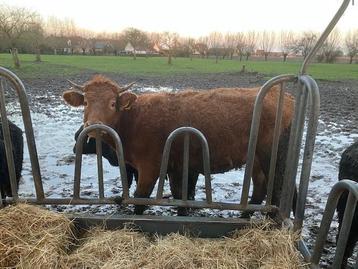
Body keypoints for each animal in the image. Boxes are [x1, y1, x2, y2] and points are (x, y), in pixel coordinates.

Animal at [63, 75, 294, 214]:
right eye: (85, 103)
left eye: (112, 103)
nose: (93, 126)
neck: (134, 120)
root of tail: (282, 95)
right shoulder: (175, 166)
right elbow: (179, 196)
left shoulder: (150, 167)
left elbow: (140, 199)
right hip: (255, 161)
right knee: (260, 189)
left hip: (272, 158)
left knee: (276, 190)